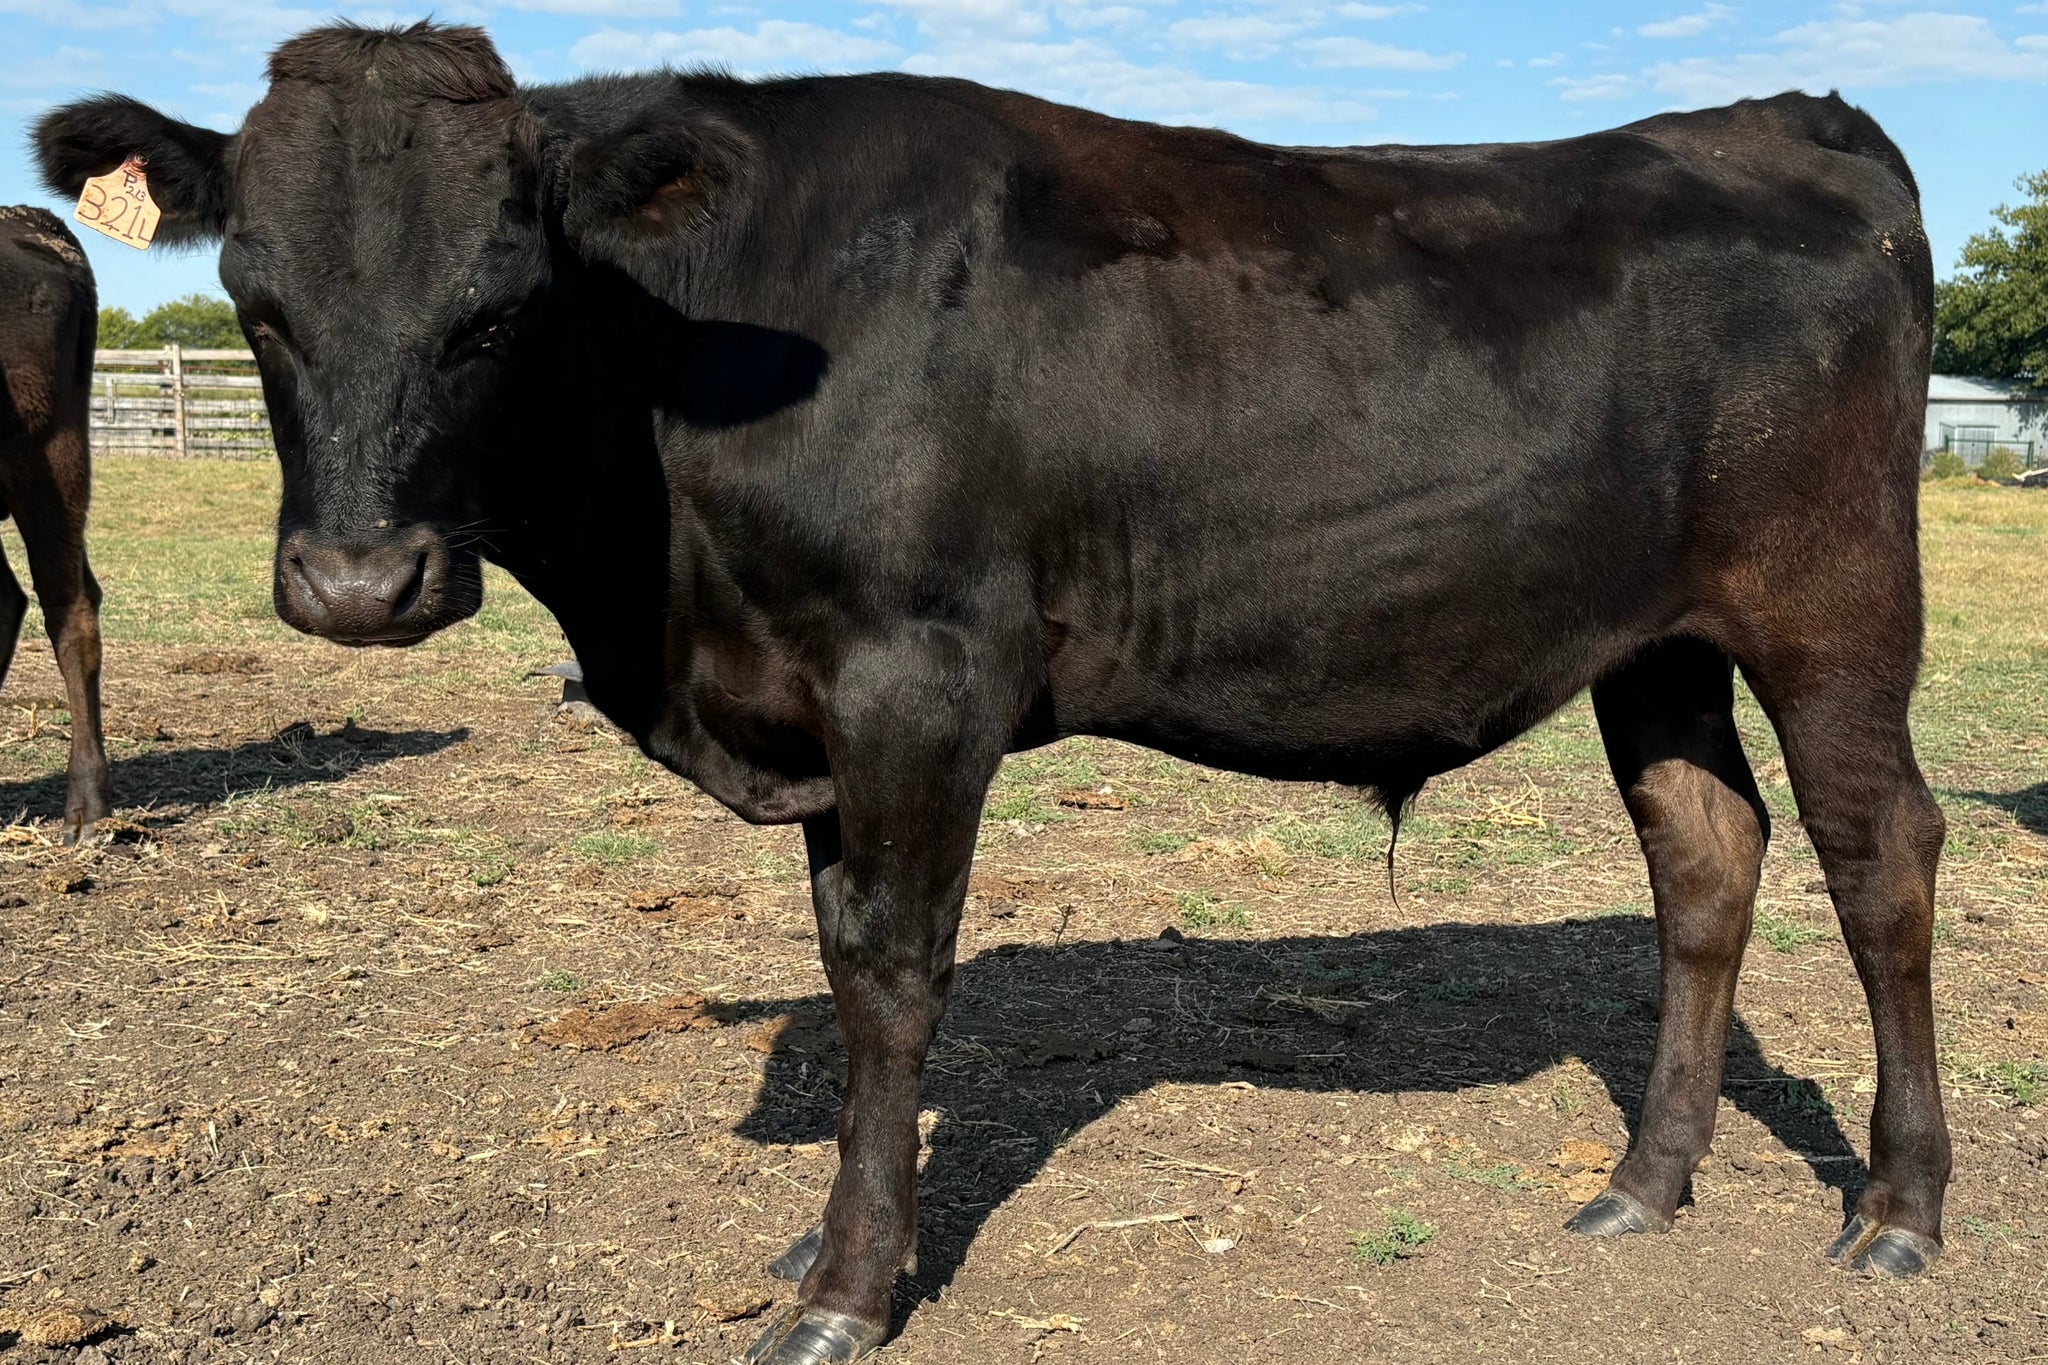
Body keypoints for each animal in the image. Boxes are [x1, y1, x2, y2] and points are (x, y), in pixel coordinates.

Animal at [36, 24, 1949, 1365]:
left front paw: (848, 1287)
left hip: (1834, 607)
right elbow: (838, 959)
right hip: (1657, 644)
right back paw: (1641, 1186)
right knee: (1702, 856)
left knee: (1881, 861)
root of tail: (1775, 118)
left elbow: (893, 976)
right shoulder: (816, 709)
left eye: (497, 310)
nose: (360, 586)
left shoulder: (916, 678)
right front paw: (827, 1237)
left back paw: (1900, 1210)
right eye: (255, 303)